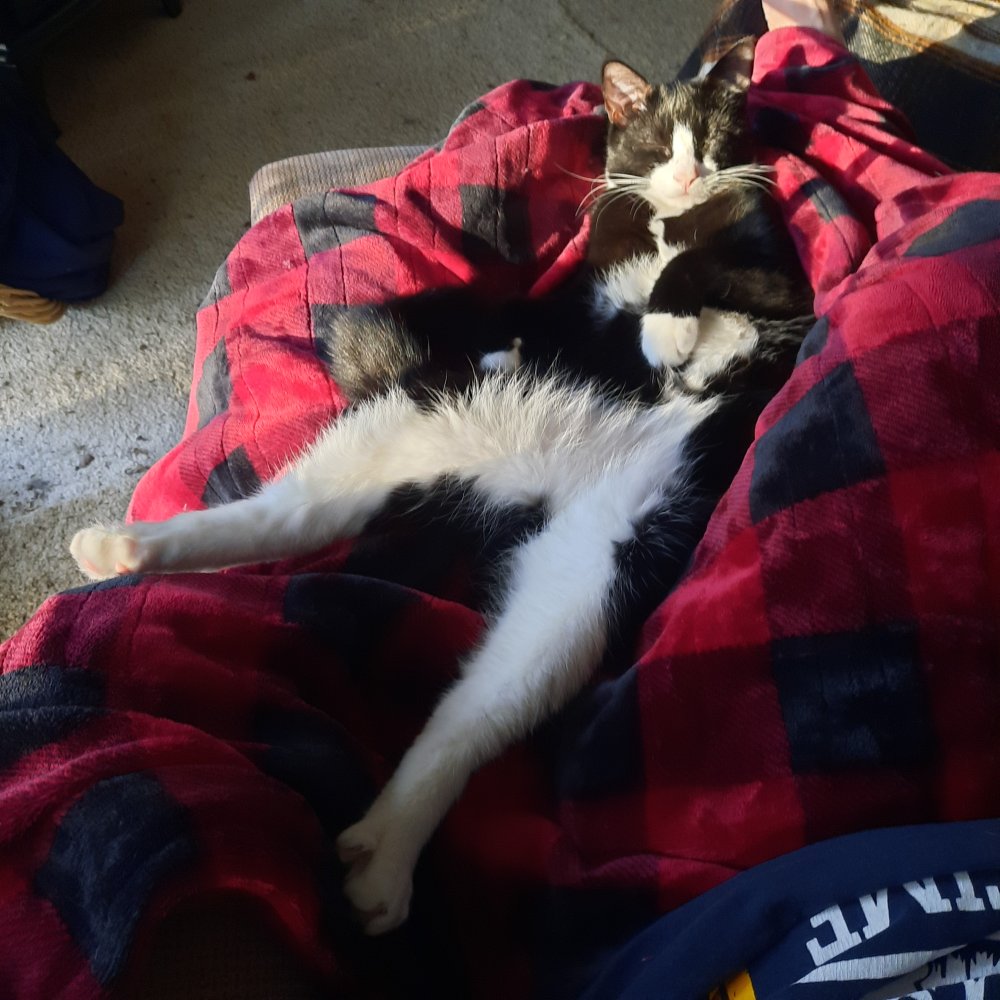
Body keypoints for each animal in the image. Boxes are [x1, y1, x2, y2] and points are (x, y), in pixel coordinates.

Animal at [70, 39, 813, 935]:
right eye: (658, 140)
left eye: (710, 136)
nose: (690, 173)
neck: (669, 221)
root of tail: (543, 467)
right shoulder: (606, 281)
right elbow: (652, 282)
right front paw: (659, 329)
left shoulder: (778, 277)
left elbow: (706, 264)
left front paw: (674, 323)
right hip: (412, 437)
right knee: (282, 522)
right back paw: (120, 550)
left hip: (588, 575)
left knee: (460, 707)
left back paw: (381, 859)